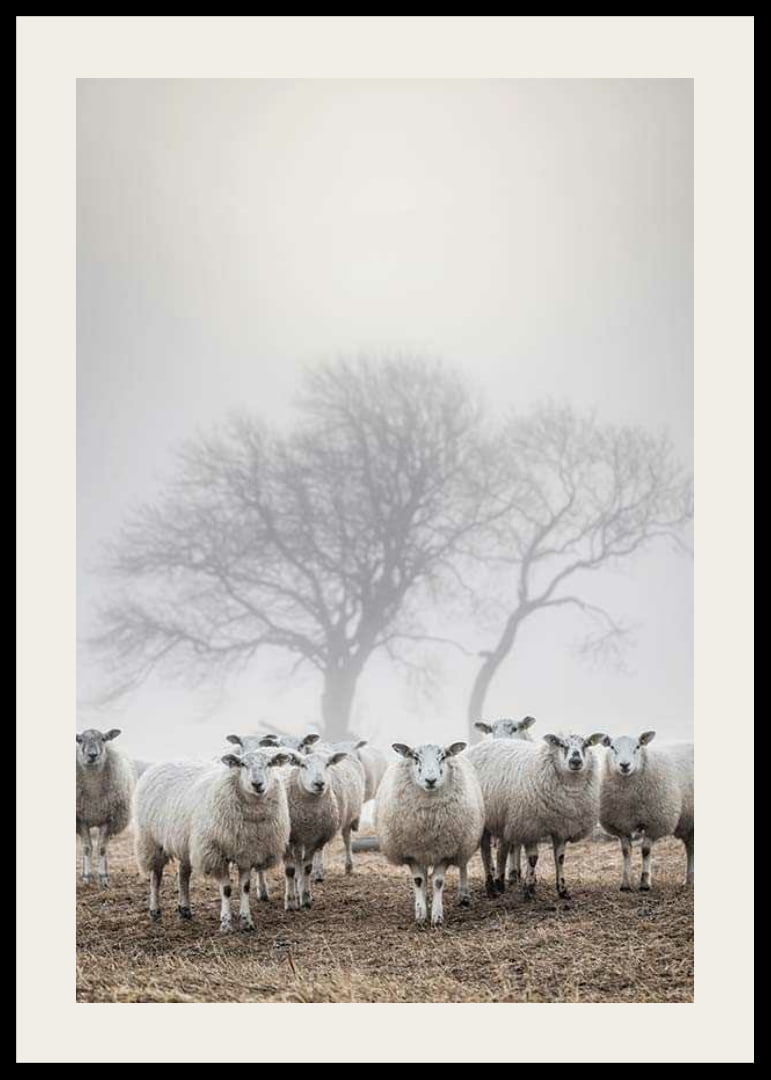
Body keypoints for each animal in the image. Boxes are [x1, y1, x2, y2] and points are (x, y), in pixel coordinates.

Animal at [76, 728, 136, 888]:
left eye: (103, 739)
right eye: (80, 740)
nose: (92, 755)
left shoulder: (108, 819)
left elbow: (102, 849)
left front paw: (103, 878)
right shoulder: (81, 819)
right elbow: (87, 848)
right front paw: (86, 878)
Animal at [133, 747, 293, 931]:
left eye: (269, 764)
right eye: (242, 764)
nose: (257, 784)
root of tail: (161, 763)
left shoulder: (247, 853)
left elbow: (245, 888)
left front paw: (247, 921)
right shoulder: (216, 853)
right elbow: (226, 889)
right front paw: (226, 923)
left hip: (186, 842)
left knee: (183, 874)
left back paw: (185, 909)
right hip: (151, 840)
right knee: (156, 876)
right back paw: (155, 911)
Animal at [375, 742, 485, 926]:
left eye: (443, 757)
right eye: (415, 757)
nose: (430, 780)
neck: (428, 820)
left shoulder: (446, 850)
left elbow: (438, 881)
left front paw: (436, 916)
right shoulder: (410, 851)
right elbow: (419, 880)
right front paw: (420, 914)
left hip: (464, 842)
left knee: (462, 865)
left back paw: (463, 895)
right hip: (424, 851)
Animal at [599, 733, 694, 891]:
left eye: (637, 747)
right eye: (612, 747)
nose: (625, 765)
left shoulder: (654, 823)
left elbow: (645, 850)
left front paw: (645, 882)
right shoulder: (621, 825)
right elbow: (626, 851)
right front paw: (625, 883)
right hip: (687, 822)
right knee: (690, 846)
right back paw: (689, 880)